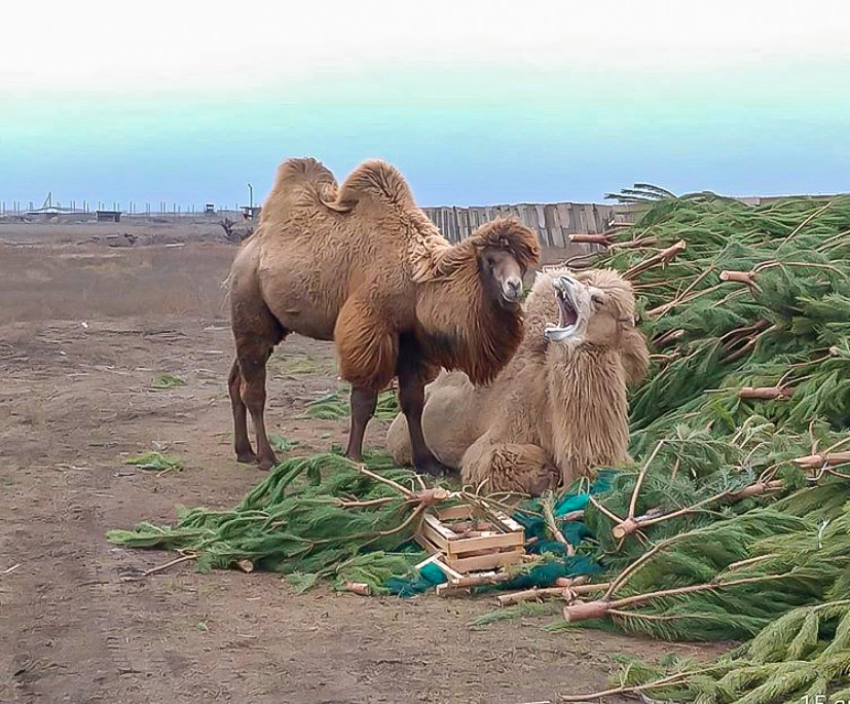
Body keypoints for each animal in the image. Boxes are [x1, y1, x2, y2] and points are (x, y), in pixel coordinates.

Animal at [225, 157, 536, 476]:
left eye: (523, 262)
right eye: (490, 260)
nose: (514, 287)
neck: (417, 282)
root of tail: (246, 252)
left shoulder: (411, 338)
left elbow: (413, 401)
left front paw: (427, 462)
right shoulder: (368, 328)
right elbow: (363, 402)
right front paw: (353, 458)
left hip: (270, 326)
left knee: (236, 379)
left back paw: (244, 451)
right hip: (250, 308)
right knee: (254, 389)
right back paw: (266, 457)